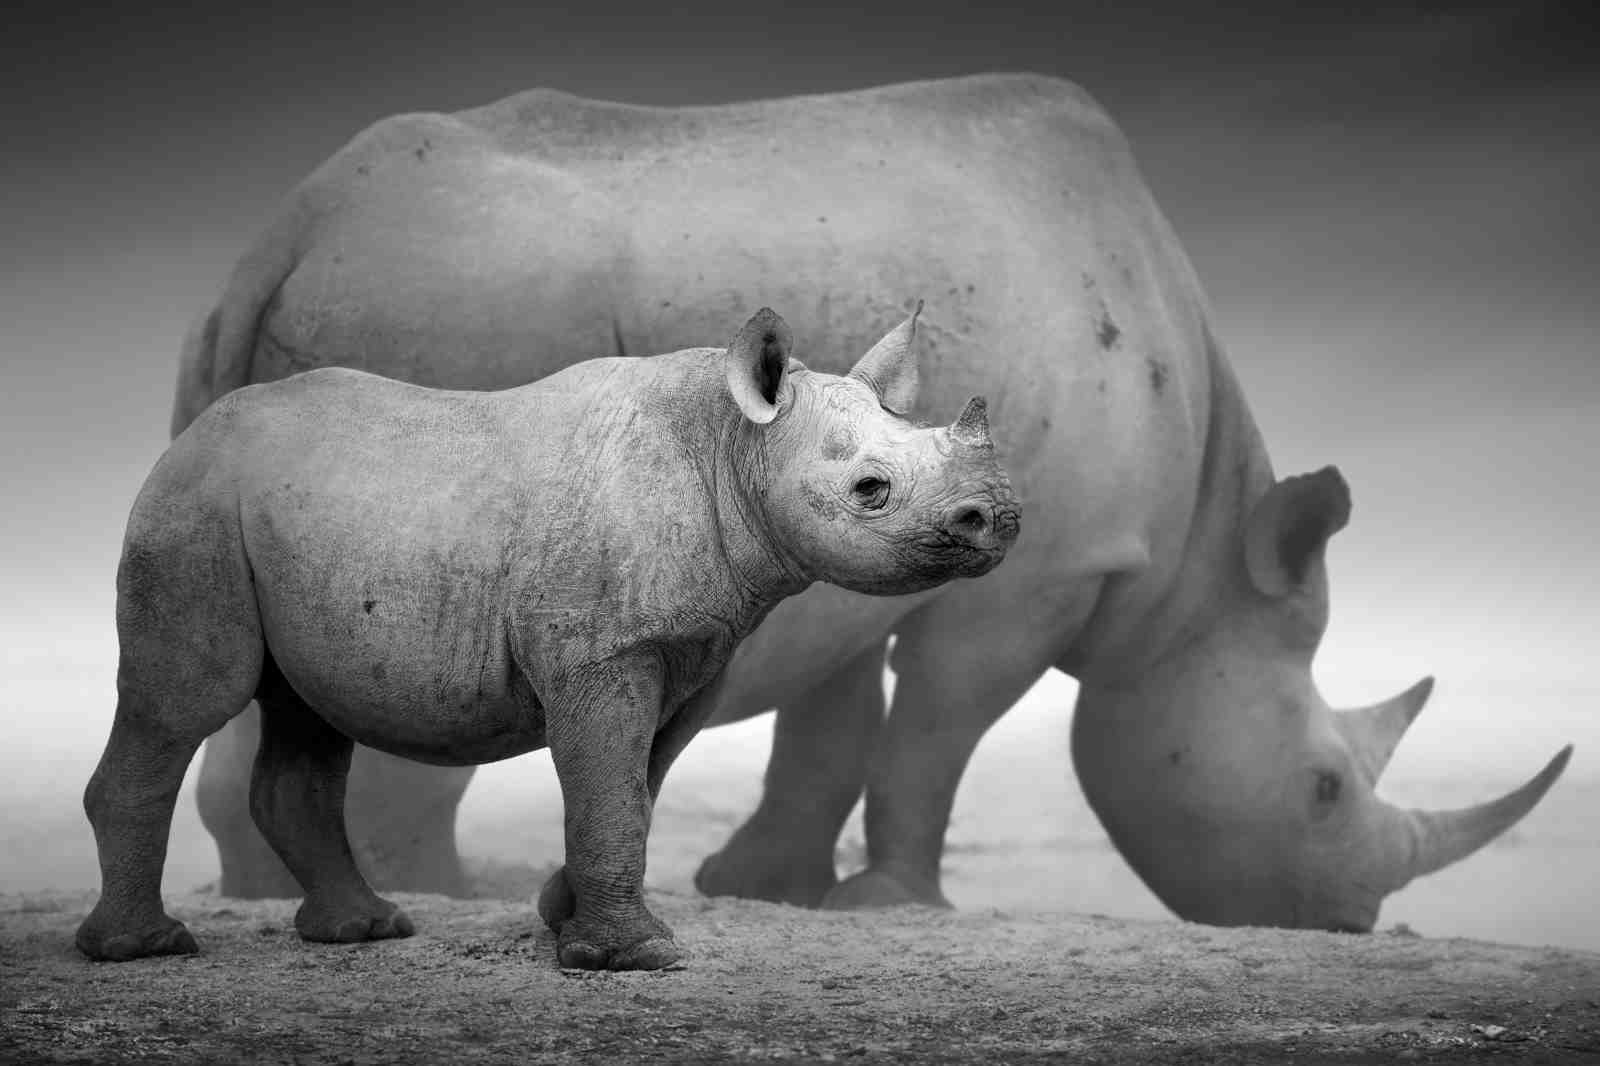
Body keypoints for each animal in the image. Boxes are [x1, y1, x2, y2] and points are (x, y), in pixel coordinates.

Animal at [76, 308, 1020, 969]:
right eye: (870, 489)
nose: (1000, 518)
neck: (735, 447)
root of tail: (191, 435)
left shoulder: (692, 652)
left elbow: (636, 787)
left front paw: (562, 921)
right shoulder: (604, 654)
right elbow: (611, 790)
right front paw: (634, 958)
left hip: (278, 516)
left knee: (305, 715)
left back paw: (365, 931)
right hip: (194, 507)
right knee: (190, 702)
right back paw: (144, 950)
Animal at [176, 73, 1570, 932]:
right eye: (1324, 790)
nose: (1347, 919)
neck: (1193, 572)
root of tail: (287, 230)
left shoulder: (850, 531)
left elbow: (833, 724)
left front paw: (769, 886)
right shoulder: (1046, 570)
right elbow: (935, 730)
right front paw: (894, 903)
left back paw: (281, 894)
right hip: (463, 308)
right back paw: (444, 891)